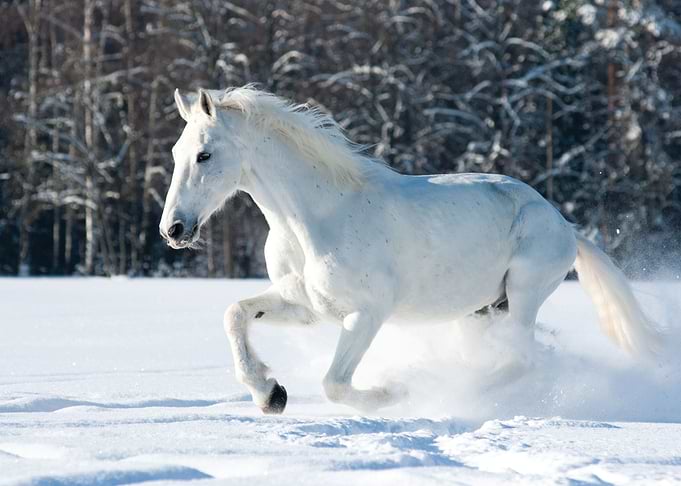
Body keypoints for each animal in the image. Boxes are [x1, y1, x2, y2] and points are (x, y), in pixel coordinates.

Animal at [159, 86, 660, 415]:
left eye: (204, 155)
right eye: (176, 152)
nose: (174, 229)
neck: (317, 219)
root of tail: (565, 225)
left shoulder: (366, 314)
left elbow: (334, 384)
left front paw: (391, 394)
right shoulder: (305, 307)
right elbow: (236, 313)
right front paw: (269, 394)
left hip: (524, 292)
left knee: (520, 358)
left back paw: (446, 392)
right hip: (484, 309)